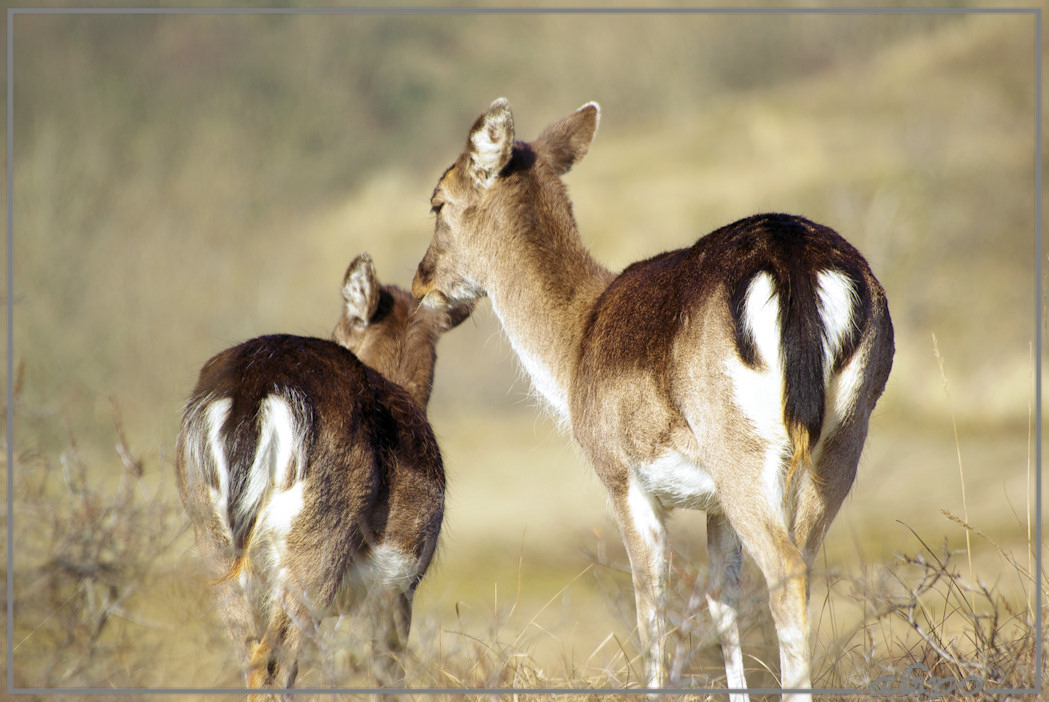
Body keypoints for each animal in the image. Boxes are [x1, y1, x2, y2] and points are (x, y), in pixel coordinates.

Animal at [177, 251, 472, 696]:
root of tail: (253, 393)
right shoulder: (400, 587)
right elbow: (384, 677)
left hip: (210, 537)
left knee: (250, 653)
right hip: (319, 539)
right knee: (275, 662)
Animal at [411, 101, 893, 696]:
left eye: (438, 201)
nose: (421, 283)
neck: (576, 346)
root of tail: (793, 263)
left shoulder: (620, 475)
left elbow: (652, 608)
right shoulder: (714, 504)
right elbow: (722, 599)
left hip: (738, 444)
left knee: (785, 569)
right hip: (846, 432)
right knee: (802, 559)